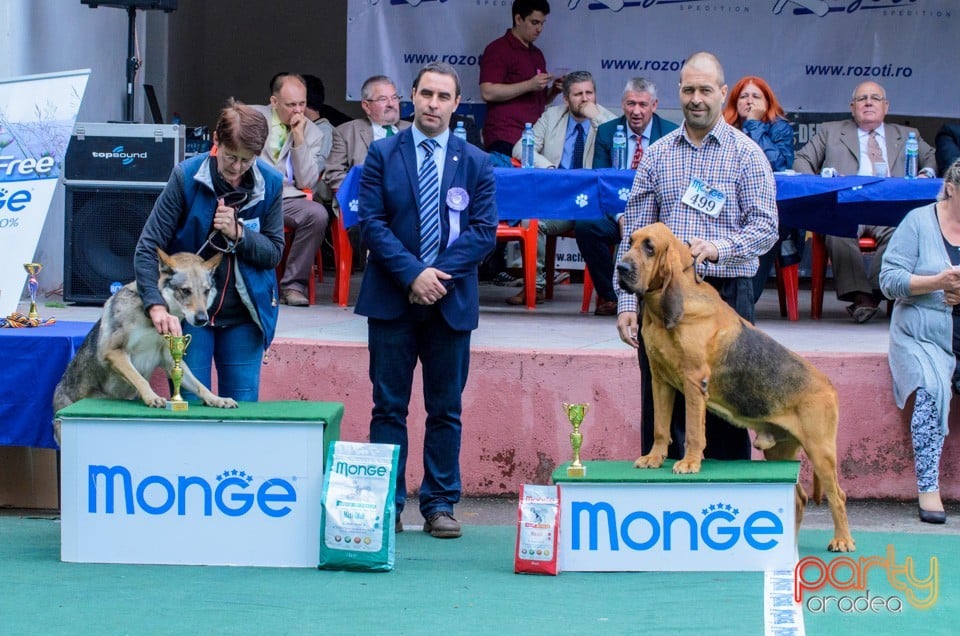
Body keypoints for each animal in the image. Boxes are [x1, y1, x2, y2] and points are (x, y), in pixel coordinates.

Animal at [620, 222, 852, 552]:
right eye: (630, 241)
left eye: (650, 247)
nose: (621, 267)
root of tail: (829, 385)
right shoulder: (660, 380)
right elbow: (661, 429)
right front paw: (654, 458)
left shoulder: (694, 383)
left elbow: (694, 432)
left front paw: (689, 463)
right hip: (780, 453)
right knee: (800, 497)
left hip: (821, 452)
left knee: (837, 495)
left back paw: (842, 540)